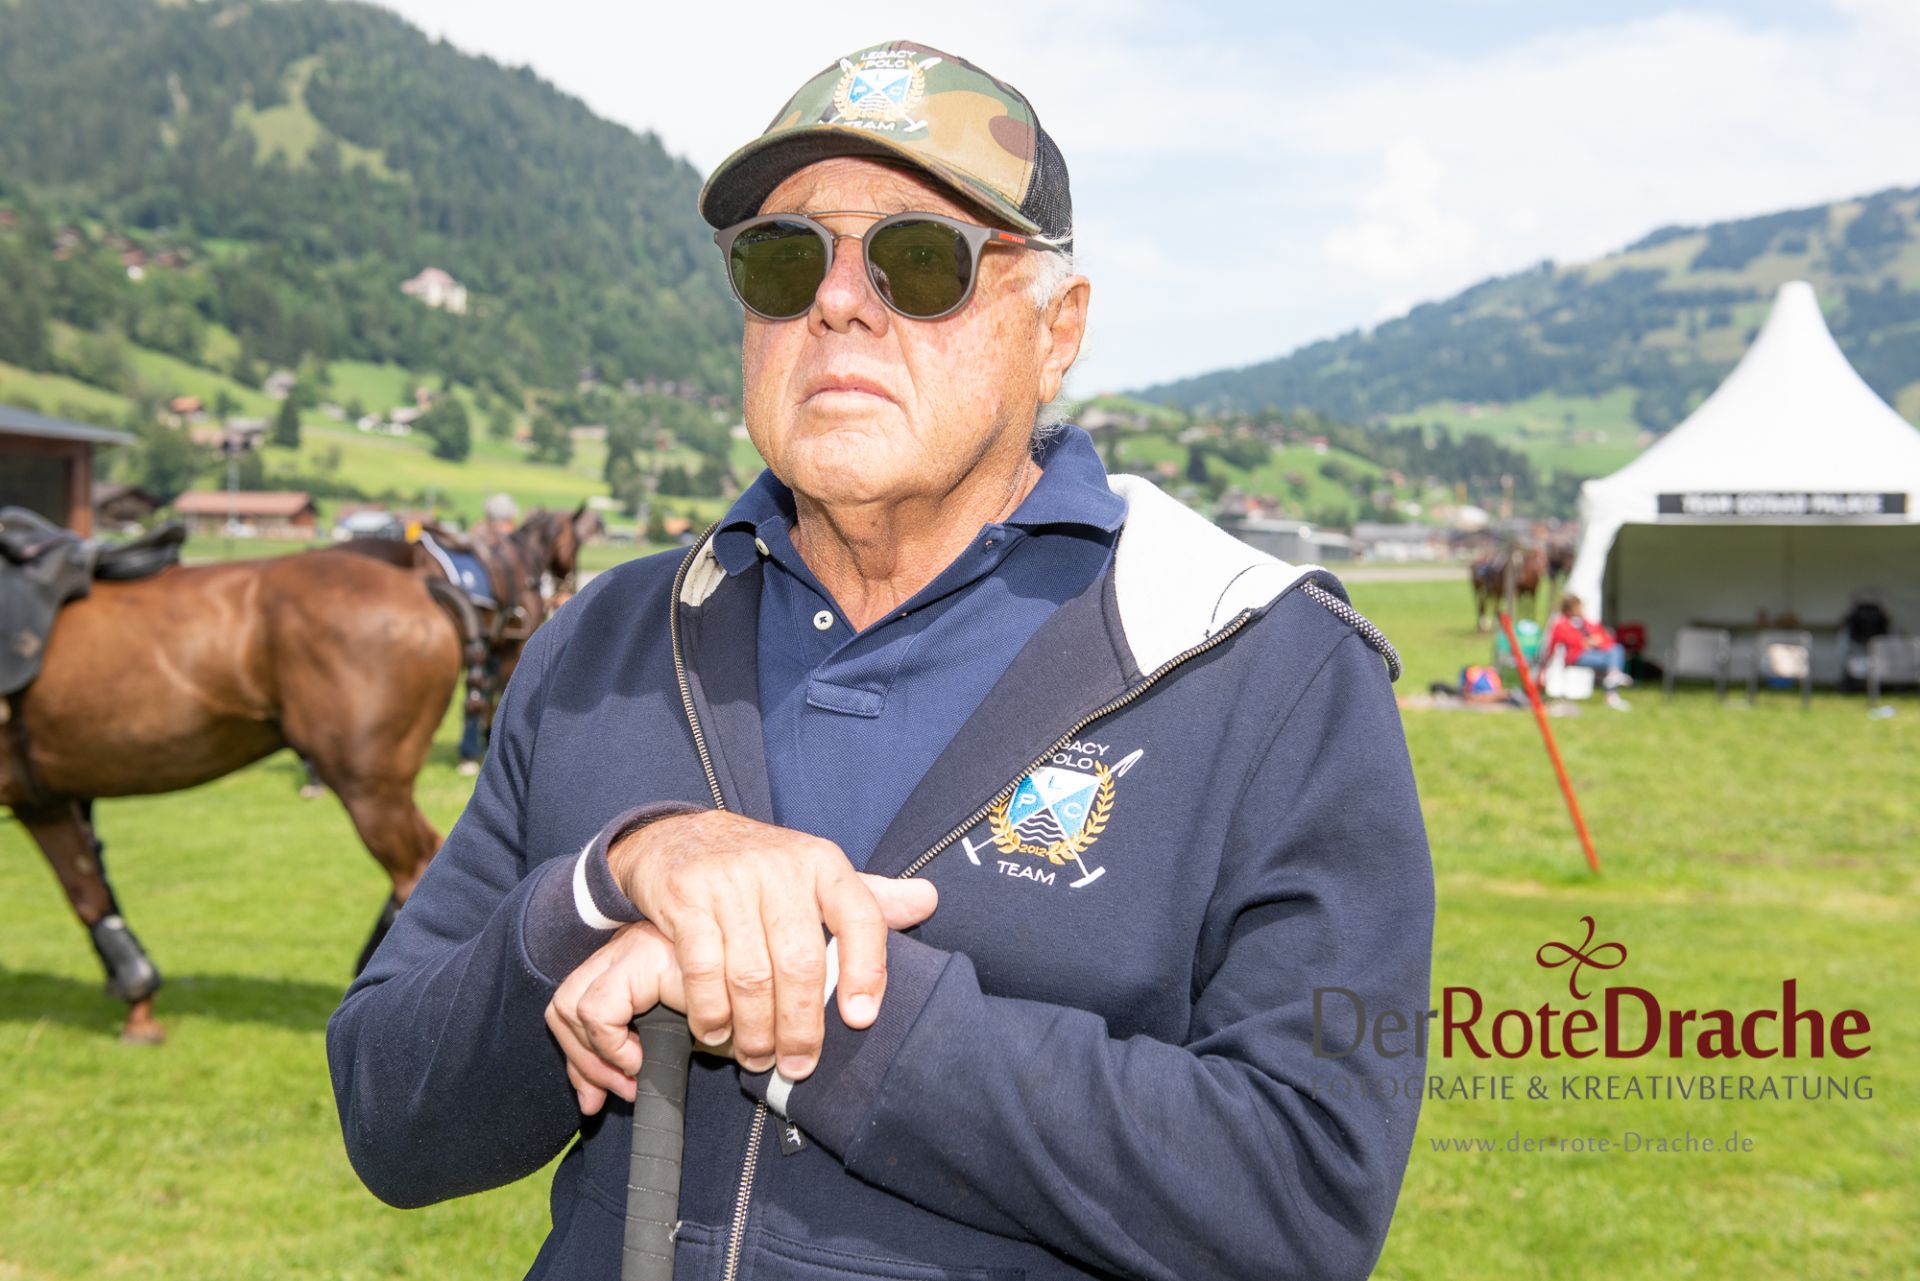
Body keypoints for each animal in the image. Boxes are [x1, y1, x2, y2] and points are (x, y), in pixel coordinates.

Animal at [1, 549, 465, 1043]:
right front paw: (137, 999)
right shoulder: (44, 801)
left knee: (415, 871)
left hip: (369, 788)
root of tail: (418, 586)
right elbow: (88, 891)